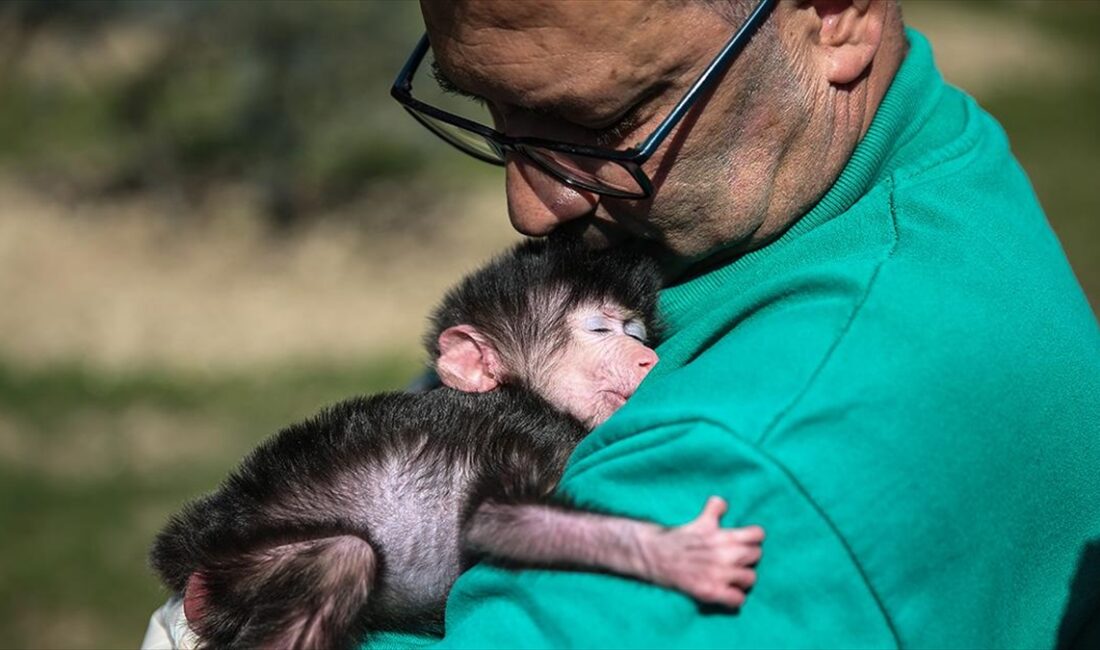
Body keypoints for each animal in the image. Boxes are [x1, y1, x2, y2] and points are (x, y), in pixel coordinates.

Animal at [148, 240, 765, 650]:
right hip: (243, 561)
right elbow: (496, 520)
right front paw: (684, 554)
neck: (527, 398)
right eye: (601, 330)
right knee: (340, 559)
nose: (647, 360)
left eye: (637, 333)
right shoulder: (519, 436)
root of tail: (189, 544)